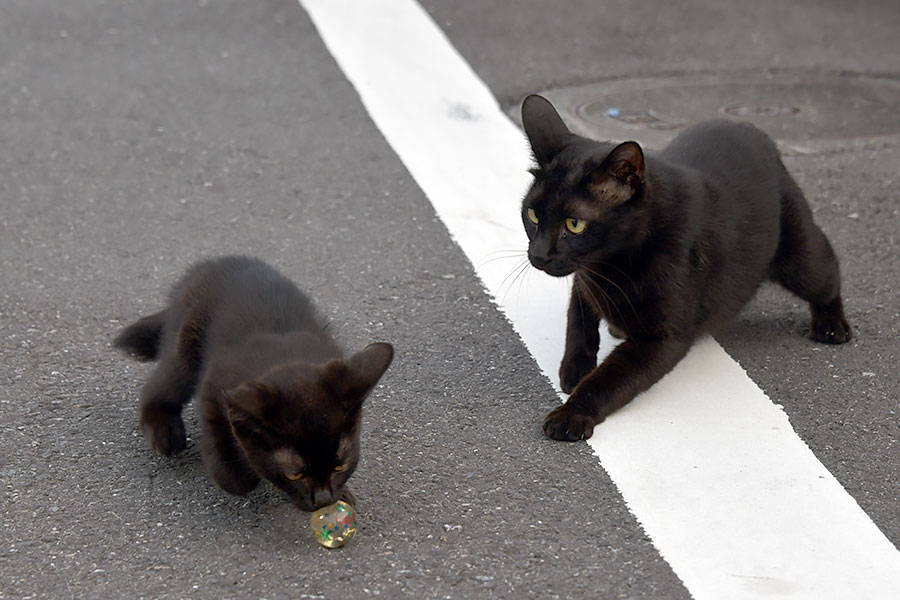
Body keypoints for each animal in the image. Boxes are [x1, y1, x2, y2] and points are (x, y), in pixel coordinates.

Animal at [114, 254, 392, 510]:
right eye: (295, 474)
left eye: (340, 466)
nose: (323, 500)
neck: (286, 356)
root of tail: (209, 265)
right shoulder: (214, 387)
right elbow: (231, 466)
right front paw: (243, 469)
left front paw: (344, 493)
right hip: (184, 349)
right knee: (159, 386)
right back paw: (164, 433)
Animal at [520, 94, 852, 440]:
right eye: (532, 215)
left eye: (574, 224)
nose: (539, 255)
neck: (611, 266)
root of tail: (750, 127)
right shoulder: (584, 278)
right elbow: (578, 322)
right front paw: (575, 369)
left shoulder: (662, 339)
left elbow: (608, 380)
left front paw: (572, 412)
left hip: (802, 259)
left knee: (827, 275)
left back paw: (831, 324)